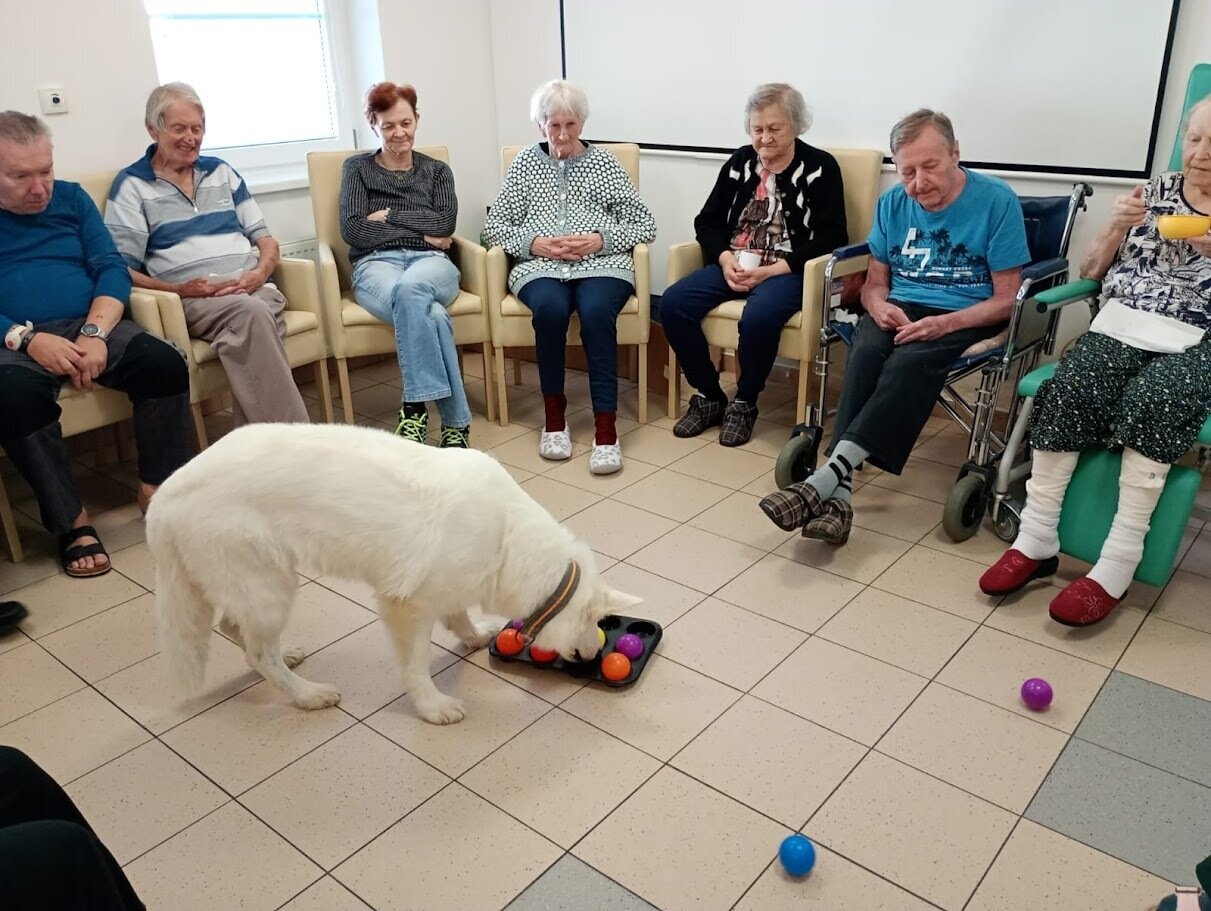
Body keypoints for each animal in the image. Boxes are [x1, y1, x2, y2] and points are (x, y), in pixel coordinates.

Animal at [147, 423, 642, 724]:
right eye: (597, 625)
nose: (593, 655)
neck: (507, 536)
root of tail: (163, 497)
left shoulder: (447, 588)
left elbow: (458, 614)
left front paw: (473, 636)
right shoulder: (405, 607)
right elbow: (416, 666)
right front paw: (431, 707)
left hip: (255, 588)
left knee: (238, 632)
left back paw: (286, 659)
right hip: (270, 587)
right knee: (255, 653)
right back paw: (306, 694)